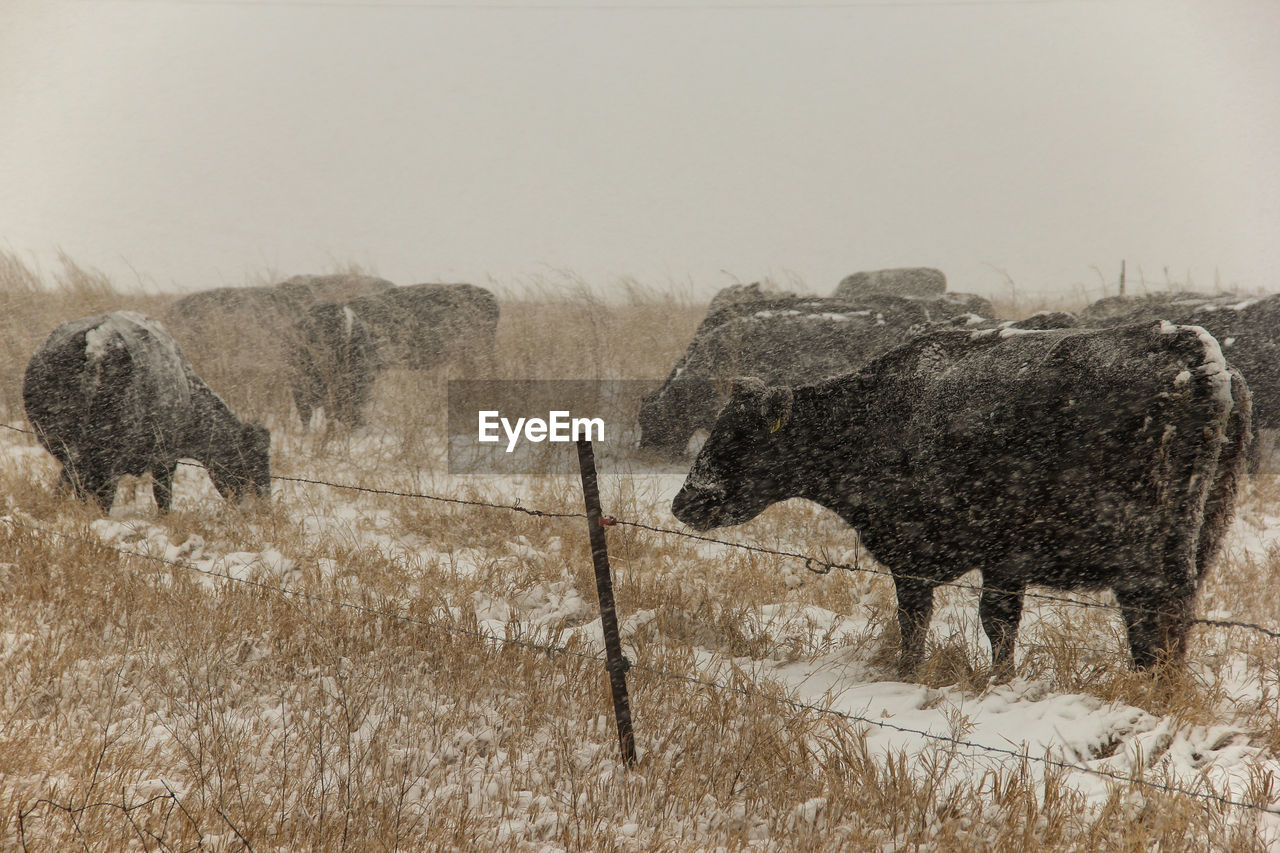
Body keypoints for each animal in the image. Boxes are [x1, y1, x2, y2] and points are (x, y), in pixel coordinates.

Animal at [23, 312, 270, 512]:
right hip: (108, 456)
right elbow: (163, 498)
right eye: (252, 459)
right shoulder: (166, 457)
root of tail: (98, 339)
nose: (263, 503)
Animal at [670, 320, 1249, 676]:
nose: (685, 501)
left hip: (1147, 558)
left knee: (1155, 623)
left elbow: (960, 619)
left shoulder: (969, 553)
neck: (879, 414)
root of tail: (1197, 352)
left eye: (737, 437)